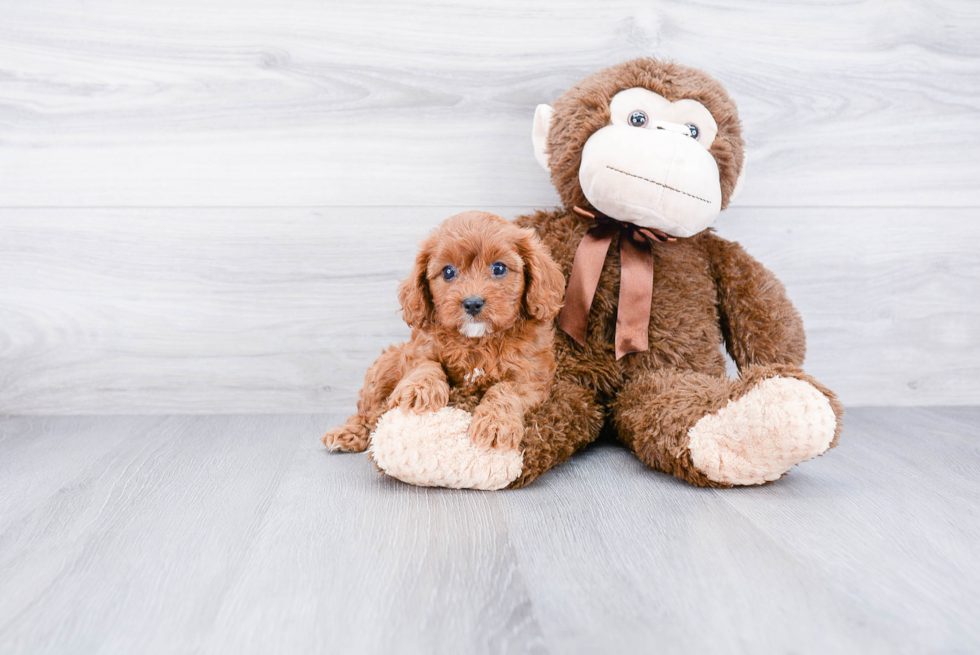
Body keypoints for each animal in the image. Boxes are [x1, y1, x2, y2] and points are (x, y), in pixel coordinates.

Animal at [324, 213, 564, 454]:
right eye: (448, 272)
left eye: (499, 268)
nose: (472, 303)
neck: (477, 341)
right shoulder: (417, 349)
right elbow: (427, 364)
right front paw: (420, 389)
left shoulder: (532, 379)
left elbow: (505, 390)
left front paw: (495, 424)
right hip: (385, 365)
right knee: (370, 412)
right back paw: (348, 433)